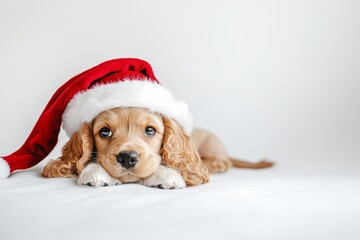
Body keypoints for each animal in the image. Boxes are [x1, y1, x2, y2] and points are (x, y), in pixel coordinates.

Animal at [41, 107, 272, 189]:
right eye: (104, 132)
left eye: (150, 130)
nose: (127, 158)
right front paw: (96, 171)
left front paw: (166, 176)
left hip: (212, 141)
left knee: (223, 161)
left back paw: (215, 163)